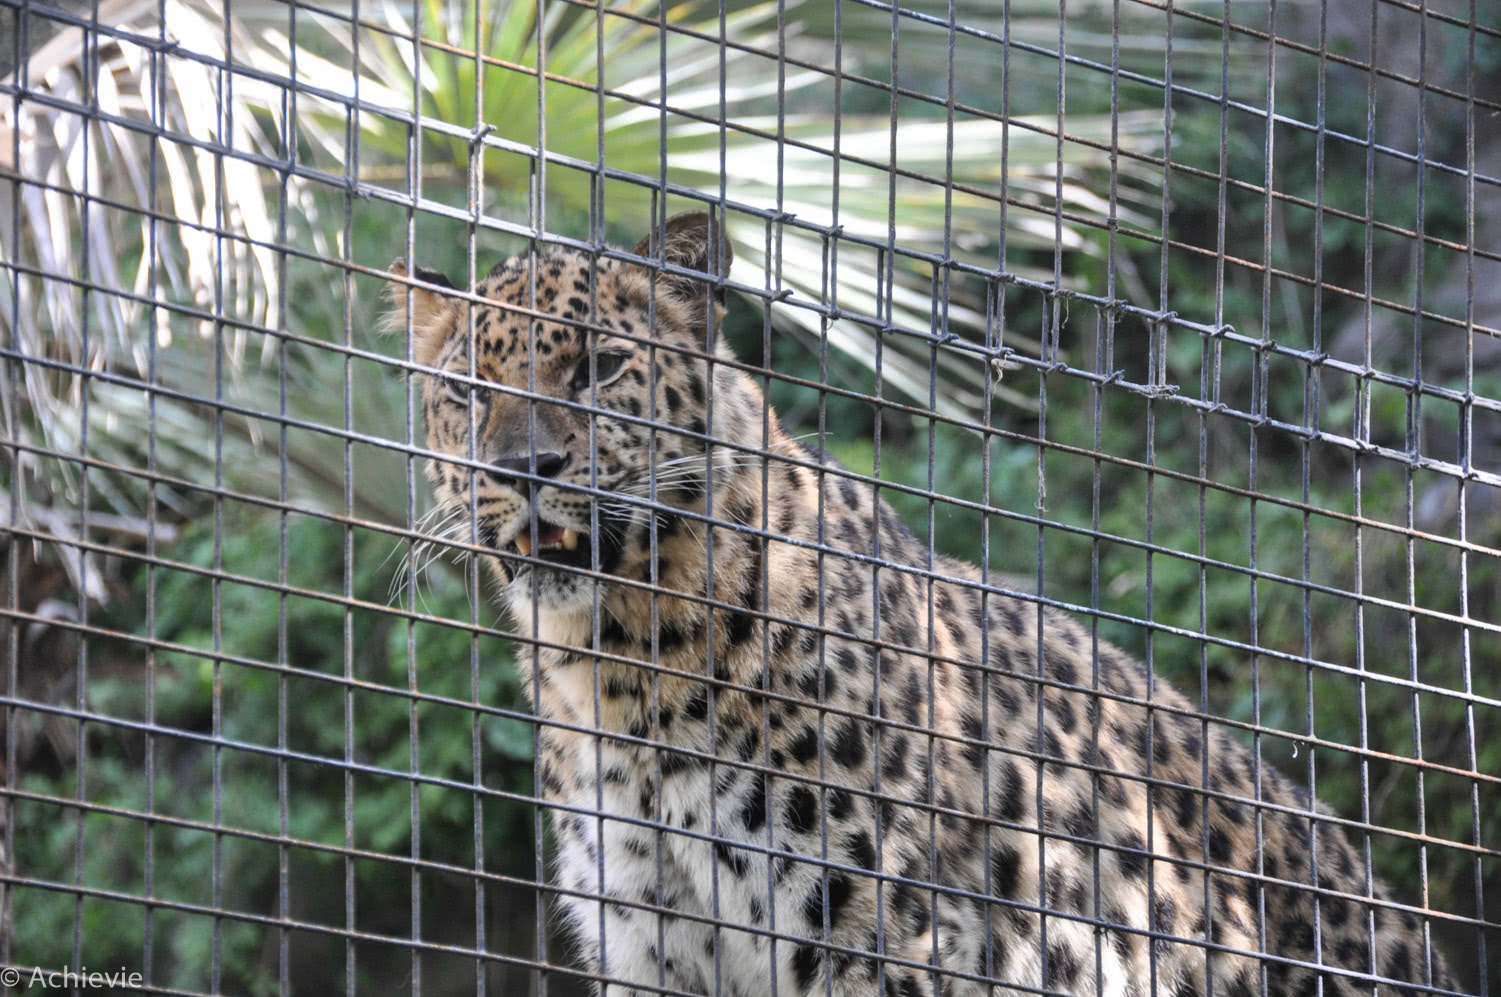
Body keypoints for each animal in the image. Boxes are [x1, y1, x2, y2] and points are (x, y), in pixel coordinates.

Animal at [384, 211, 1462, 997]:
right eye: (466, 389)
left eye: (599, 367)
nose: (523, 469)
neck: (616, 662)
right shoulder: (653, 943)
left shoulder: (881, 935)